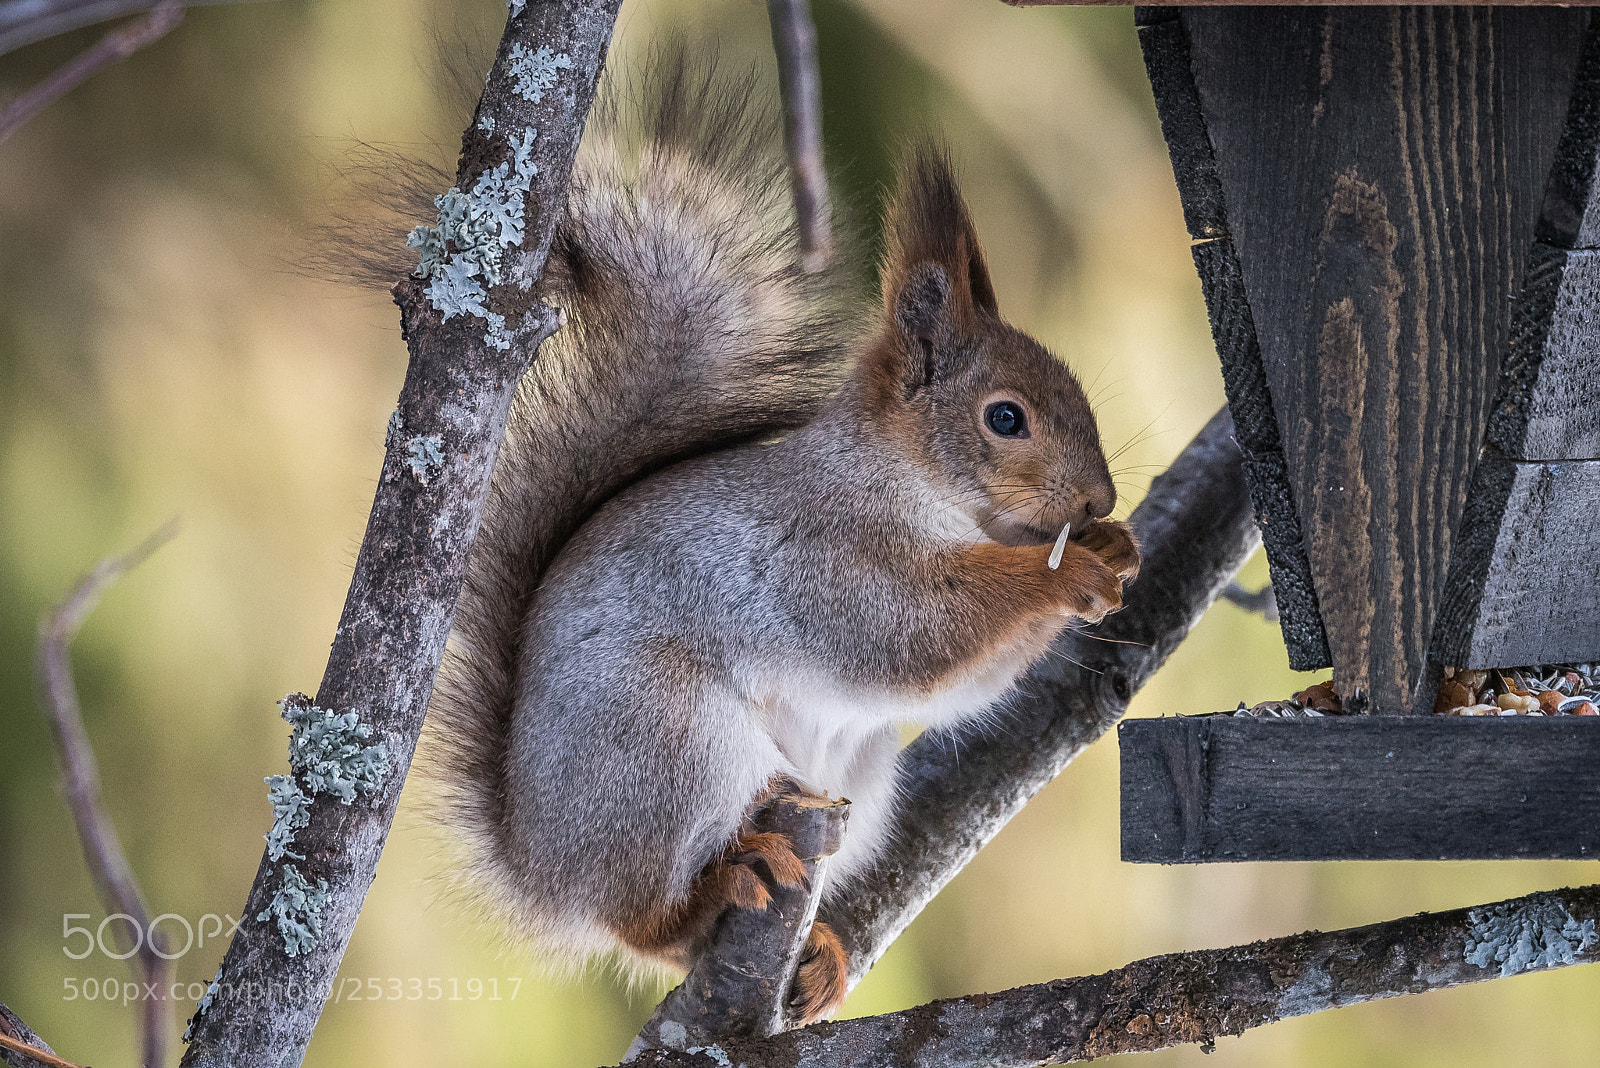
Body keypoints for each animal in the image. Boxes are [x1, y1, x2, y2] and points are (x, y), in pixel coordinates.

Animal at [406, 58, 1139, 1023]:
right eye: (1006, 418)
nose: (1100, 496)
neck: (910, 482)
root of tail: (539, 866)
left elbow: (963, 684)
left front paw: (1117, 548)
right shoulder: (825, 556)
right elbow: (915, 637)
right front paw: (1069, 570)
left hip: (855, 780)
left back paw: (817, 951)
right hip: (670, 742)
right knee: (642, 922)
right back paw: (718, 886)